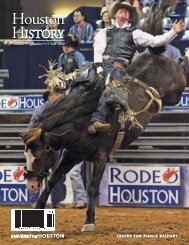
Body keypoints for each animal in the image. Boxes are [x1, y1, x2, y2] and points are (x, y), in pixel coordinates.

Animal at [21, 53, 187, 232]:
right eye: (26, 154)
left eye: (38, 155)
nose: (31, 185)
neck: (83, 122)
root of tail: (157, 55)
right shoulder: (72, 154)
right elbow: (52, 179)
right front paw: (38, 208)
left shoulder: (101, 156)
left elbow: (92, 187)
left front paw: (89, 221)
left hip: (175, 92)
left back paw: (184, 58)